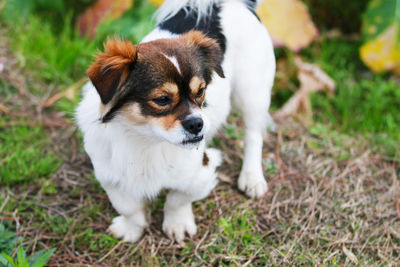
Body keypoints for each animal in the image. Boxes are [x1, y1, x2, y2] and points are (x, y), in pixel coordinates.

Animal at [75, 0, 276, 244]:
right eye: (162, 100)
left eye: (200, 92)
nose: (197, 124)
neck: (145, 140)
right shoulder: (109, 176)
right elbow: (128, 207)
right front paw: (133, 228)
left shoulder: (200, 170)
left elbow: (177, 198)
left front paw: (177, 224)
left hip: (251, 94)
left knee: (254, 135)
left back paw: (251, 177)